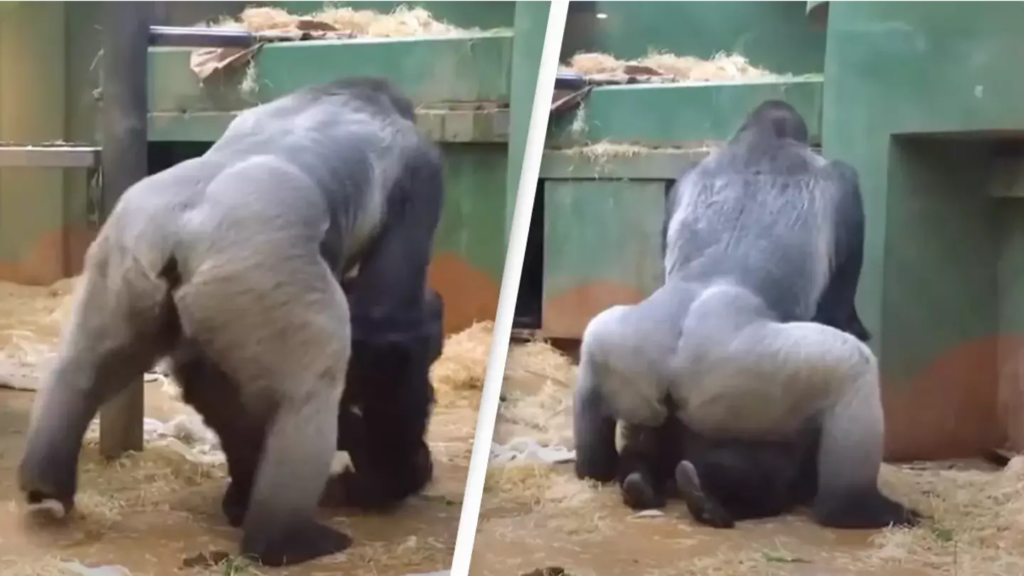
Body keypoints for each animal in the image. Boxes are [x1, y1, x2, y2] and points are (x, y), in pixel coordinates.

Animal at [16, 76, 440, 565]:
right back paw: (284, 540)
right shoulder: (422, 167)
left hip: (123, 258)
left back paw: (48, 484)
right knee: (308, 392)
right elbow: (388, 324)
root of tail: (179, 225)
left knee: (81, 371)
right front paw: (393, 471)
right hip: (256, 267)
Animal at [577, 99, 921, 528]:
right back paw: (855, 506)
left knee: (594, 350)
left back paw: (627, 473)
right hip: (739, 369)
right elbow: (842, 311)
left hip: (629, 347)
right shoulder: (846, 185)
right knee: (852, 370)